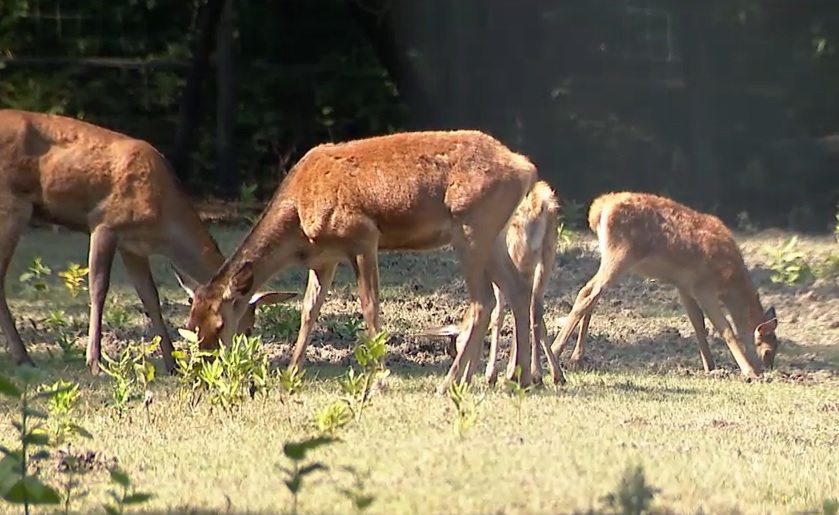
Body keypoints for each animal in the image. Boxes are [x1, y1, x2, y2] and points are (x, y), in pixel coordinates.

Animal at [0, 109, 296, 374]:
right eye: (246, 325)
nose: (233, 359)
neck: (164, 223)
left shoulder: (133, 247)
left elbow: (150, 297)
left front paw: (171, 364)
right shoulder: (104, 223)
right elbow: (98, 288)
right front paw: (94, 362)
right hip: (14, 206)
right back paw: (24, 357)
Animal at [418, 179, 564, 384]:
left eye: (458, 344)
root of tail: (539, 205)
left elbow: (496, 314)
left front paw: (491, 374)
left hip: (517, 253)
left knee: (519, 303)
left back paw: (513, 373)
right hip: (546, 253)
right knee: (535, 309)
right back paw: (538, 373)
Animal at [552, 191, 780, 380]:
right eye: (768, 350)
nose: (767, 369)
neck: (730, 281)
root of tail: (598, 210)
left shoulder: (684, 286)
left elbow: (699, 325)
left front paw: (711, 367)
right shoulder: (703, 287)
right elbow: (726, 329)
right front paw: (748, 372)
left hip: (609, 256)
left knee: (588, 292)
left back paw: (575, 359)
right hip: (620, 255)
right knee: (589, 295)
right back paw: (555, 350)